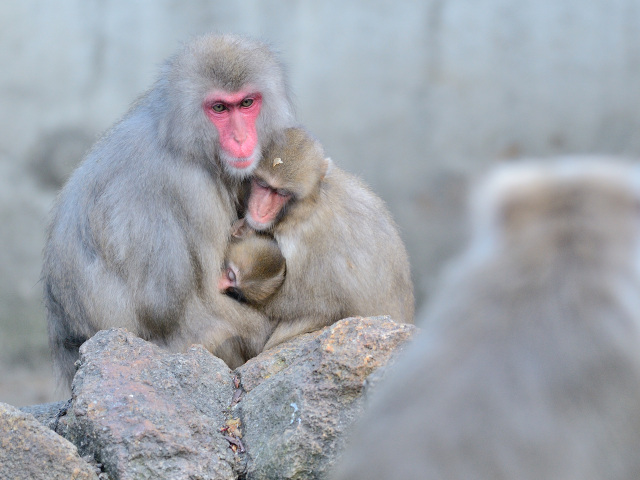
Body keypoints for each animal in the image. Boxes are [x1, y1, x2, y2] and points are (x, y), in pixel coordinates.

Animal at [41, 33, 296, 388]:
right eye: (219, 108)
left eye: (247, 103)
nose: (241, 138)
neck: (184, 140)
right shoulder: (190, 189)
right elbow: (194, 298)